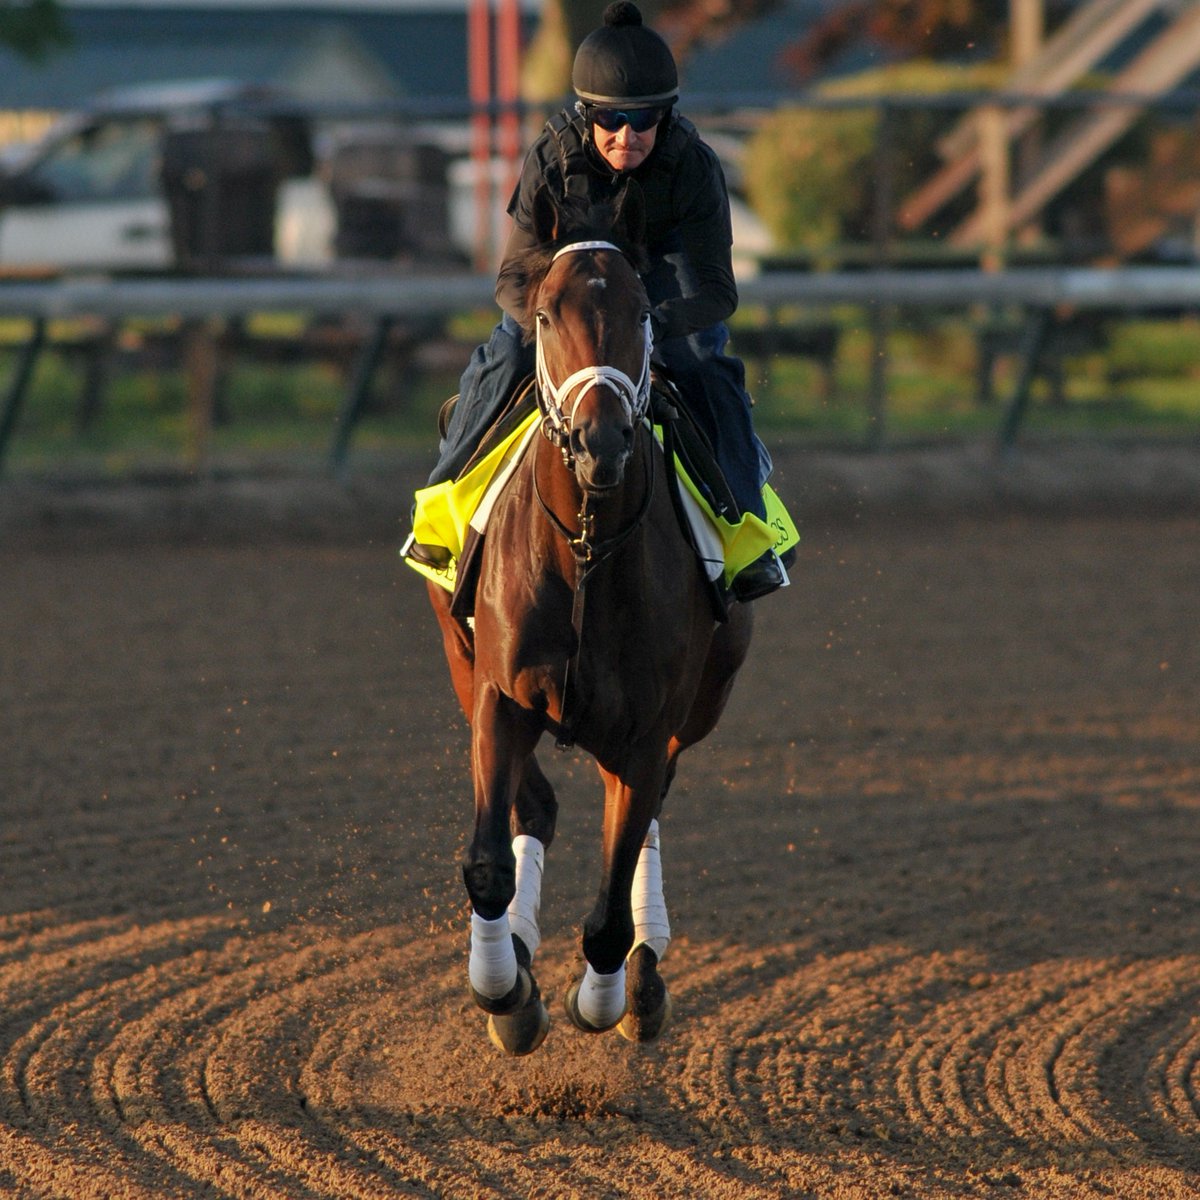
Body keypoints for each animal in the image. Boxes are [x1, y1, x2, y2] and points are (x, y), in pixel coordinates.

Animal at [429, 182, 748, 1056]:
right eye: (545, 314)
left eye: (642, 312)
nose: (602, 440)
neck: (587, 547)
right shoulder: (498, 693)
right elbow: (489, 862)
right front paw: (506, 992)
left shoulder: (648, 726)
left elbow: (609, 903)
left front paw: (604, 997)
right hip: (460, 657)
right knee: (536, 807)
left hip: (702, 700)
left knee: (647, 814)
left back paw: (642, 978)